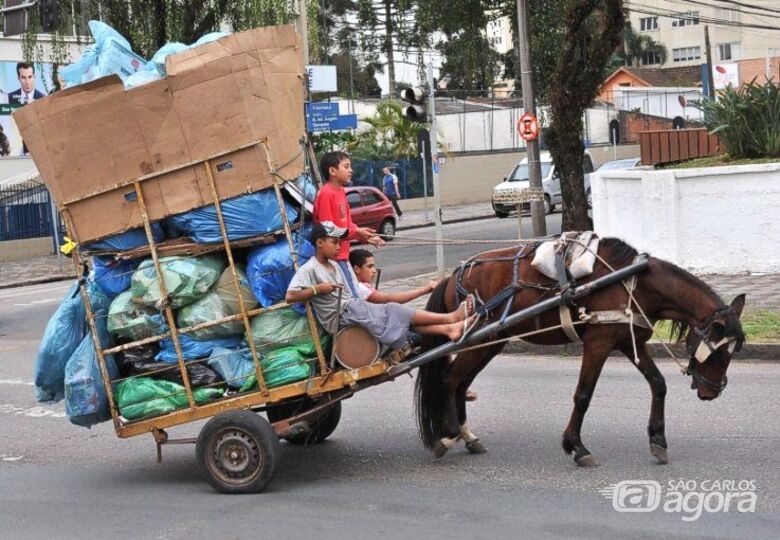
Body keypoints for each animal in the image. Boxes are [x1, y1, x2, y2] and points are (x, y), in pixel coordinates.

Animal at [418, 238, 748, 466]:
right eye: (720, 351)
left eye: (736, 350)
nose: (712, 392)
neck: (634, 282)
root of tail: (453, 276)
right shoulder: (598, 344)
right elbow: (583, 395)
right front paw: (576, 447)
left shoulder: (630, 342)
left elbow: (658, 384)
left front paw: (658, 440)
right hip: (478, 340)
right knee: (450, 380)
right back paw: (448, 435)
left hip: (491, 341)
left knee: (461, 384)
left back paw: (467, 436)